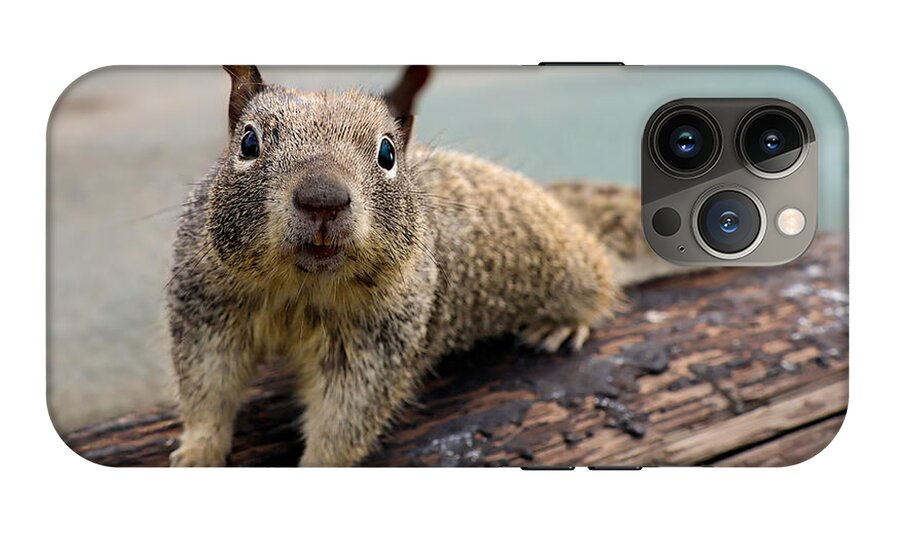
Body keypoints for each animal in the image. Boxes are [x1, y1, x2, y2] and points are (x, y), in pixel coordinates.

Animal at [168, 65, 680, 467]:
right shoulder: (208, 309)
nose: (323, 199)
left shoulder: (378, 342)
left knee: (600, 280)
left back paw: (564, 323)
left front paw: (316, 464)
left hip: (571, 266)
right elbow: (207, 389)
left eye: (387, 152)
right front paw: (196, 453)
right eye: (248, 142)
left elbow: (345, 418)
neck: (303, 287)